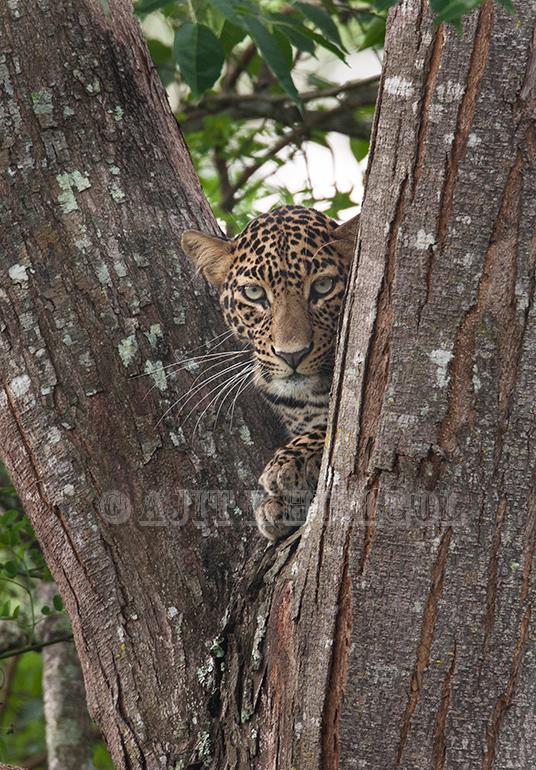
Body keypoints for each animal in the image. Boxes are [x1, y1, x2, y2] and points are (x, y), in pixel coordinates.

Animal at [182, 205, 358, 541]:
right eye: (253, 293)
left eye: (323, 286)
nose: (292, 354)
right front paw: (280, 506)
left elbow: (331, 428)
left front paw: (289, 464)